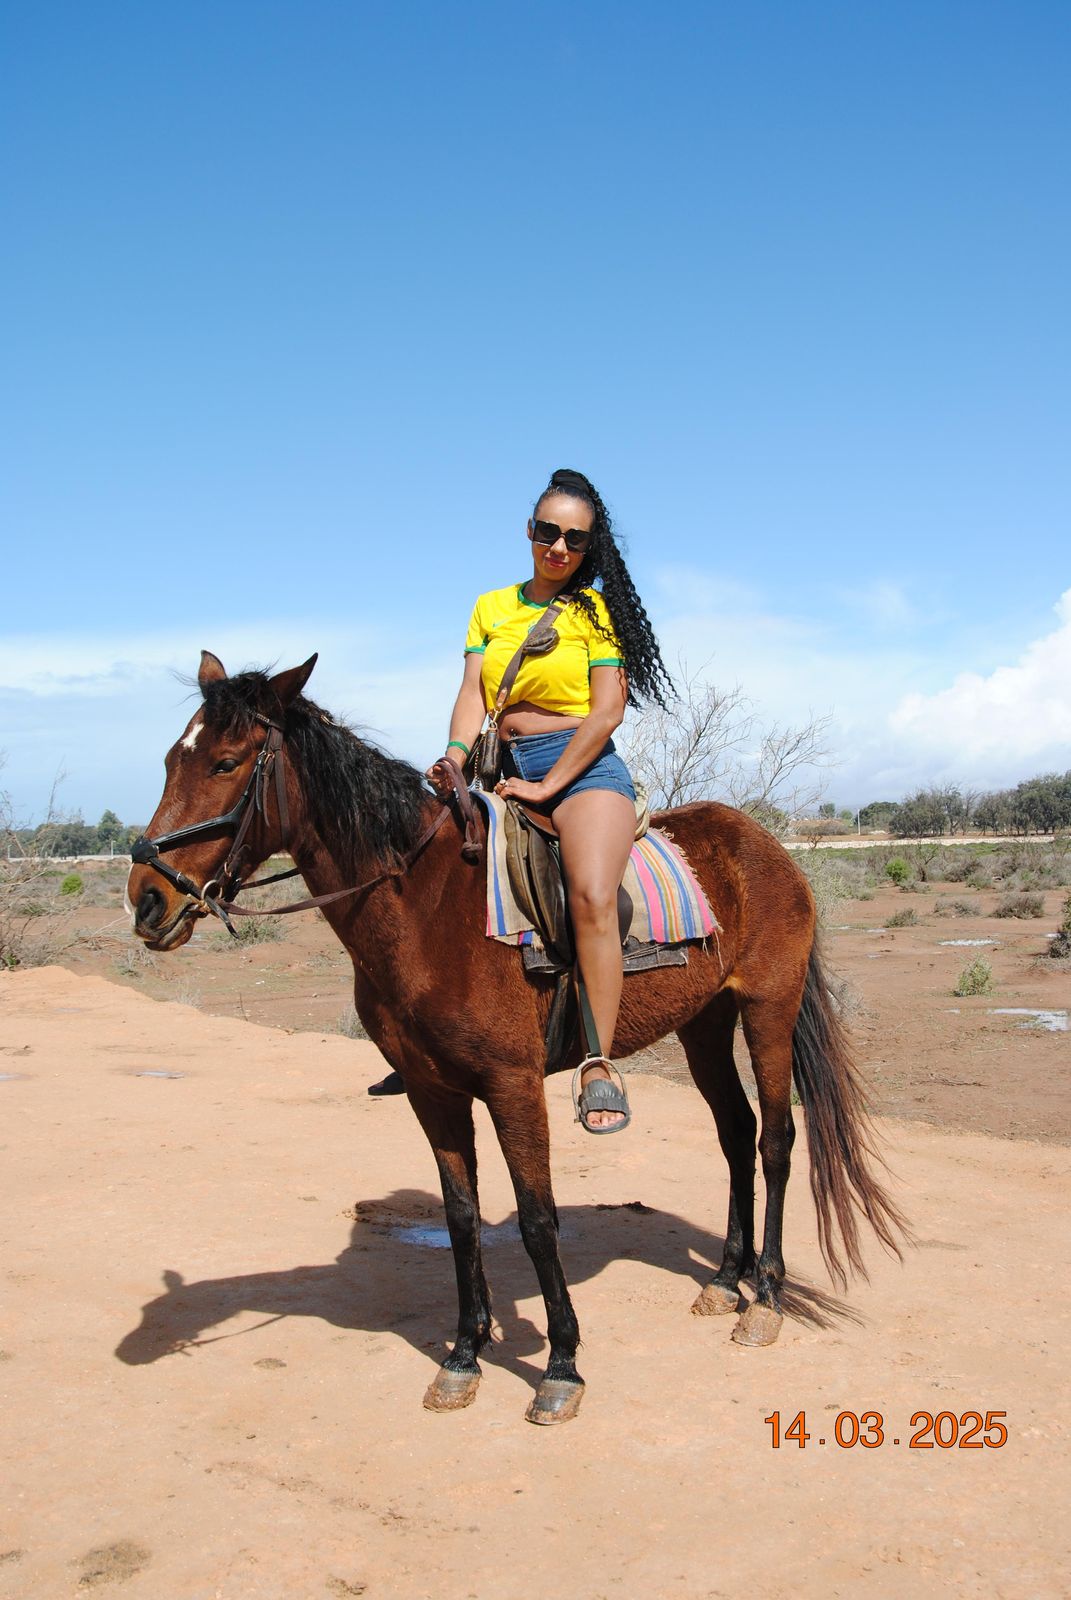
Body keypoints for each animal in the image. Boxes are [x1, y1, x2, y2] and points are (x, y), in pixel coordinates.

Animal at [127, 651, 908, 1425]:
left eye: (227, 762)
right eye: (168, 761)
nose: (146, 900)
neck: (424, 904)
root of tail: (765, 844)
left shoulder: (512, 1085)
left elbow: (536, 1220)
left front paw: (561, 1366)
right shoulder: (432, 1092)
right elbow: (462, 1218)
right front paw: (463, 1356)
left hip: (767, 1010)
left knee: (775, 1140)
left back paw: (765, 1298)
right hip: (704, 1025)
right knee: (736, 1133)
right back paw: (724, 1281)